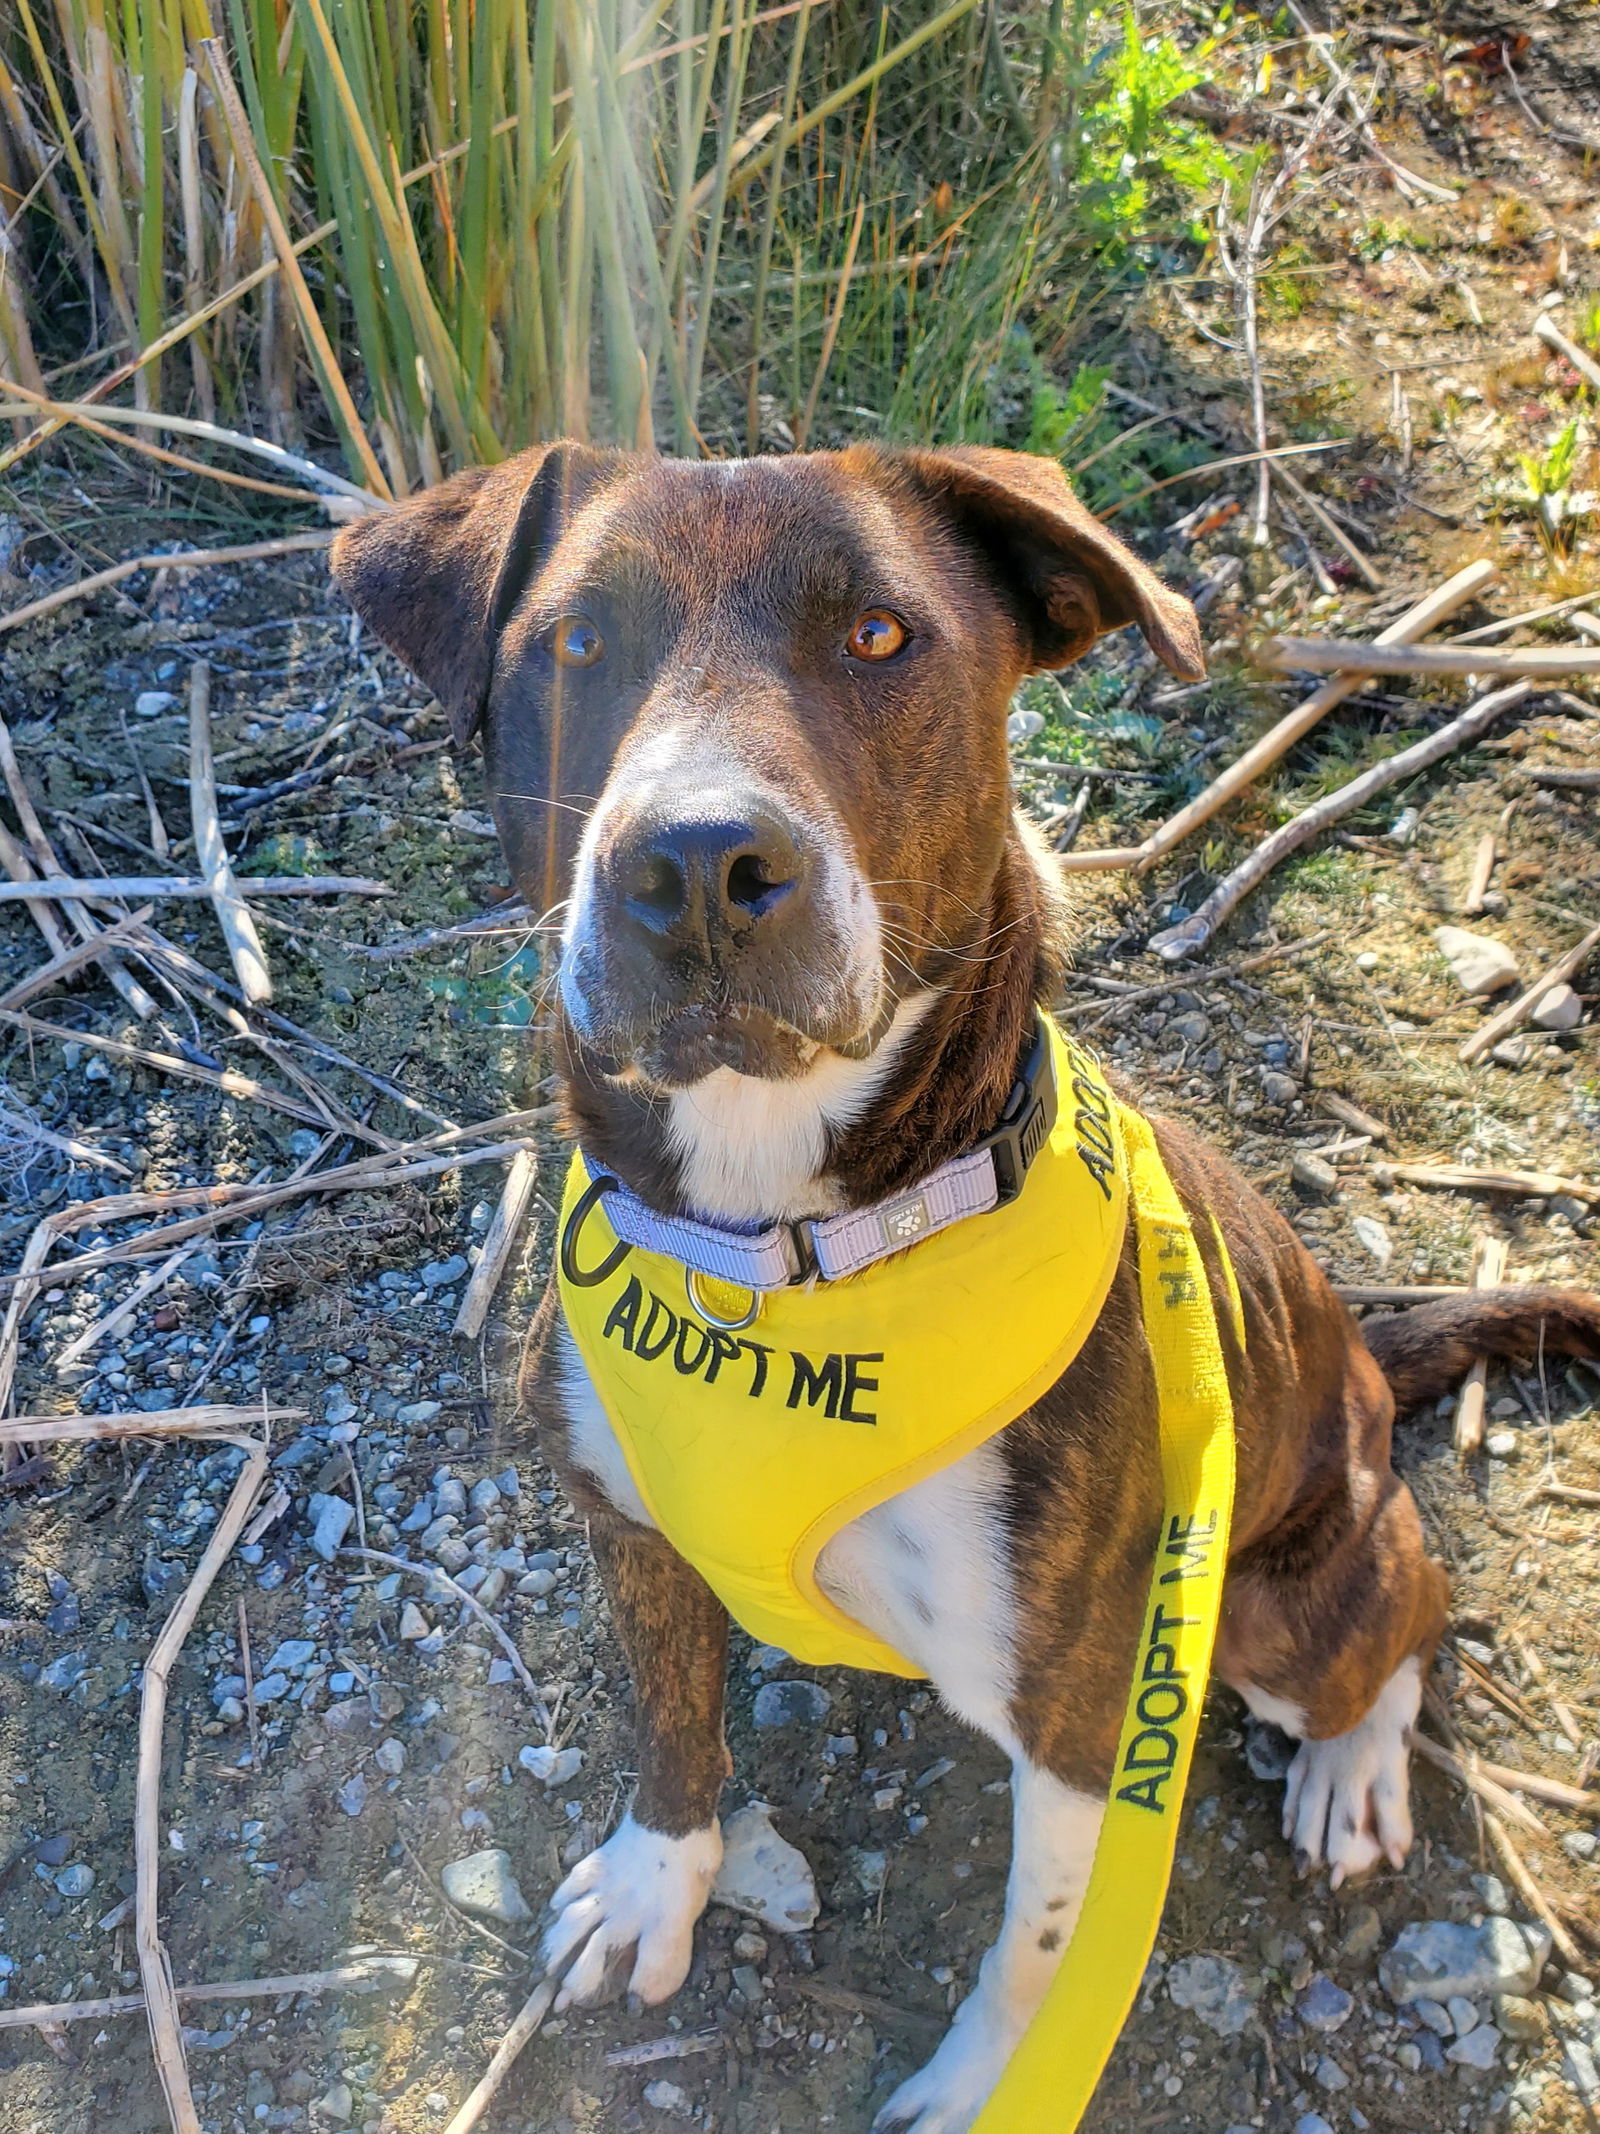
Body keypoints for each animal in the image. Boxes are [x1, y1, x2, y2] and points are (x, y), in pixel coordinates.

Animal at [328, 441, 1600, 2125]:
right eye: (577, 641)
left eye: (880, 636)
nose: (697, 865)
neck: (788, 1254)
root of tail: (1374, 1374)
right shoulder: (630, 1527)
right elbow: (670, 1724)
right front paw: (659, 1879)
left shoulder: (1084, 1715)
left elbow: (1044, 1951)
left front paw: (990, 2083)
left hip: (1280, 1601)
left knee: (1407, 1610)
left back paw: (1353, 1768)